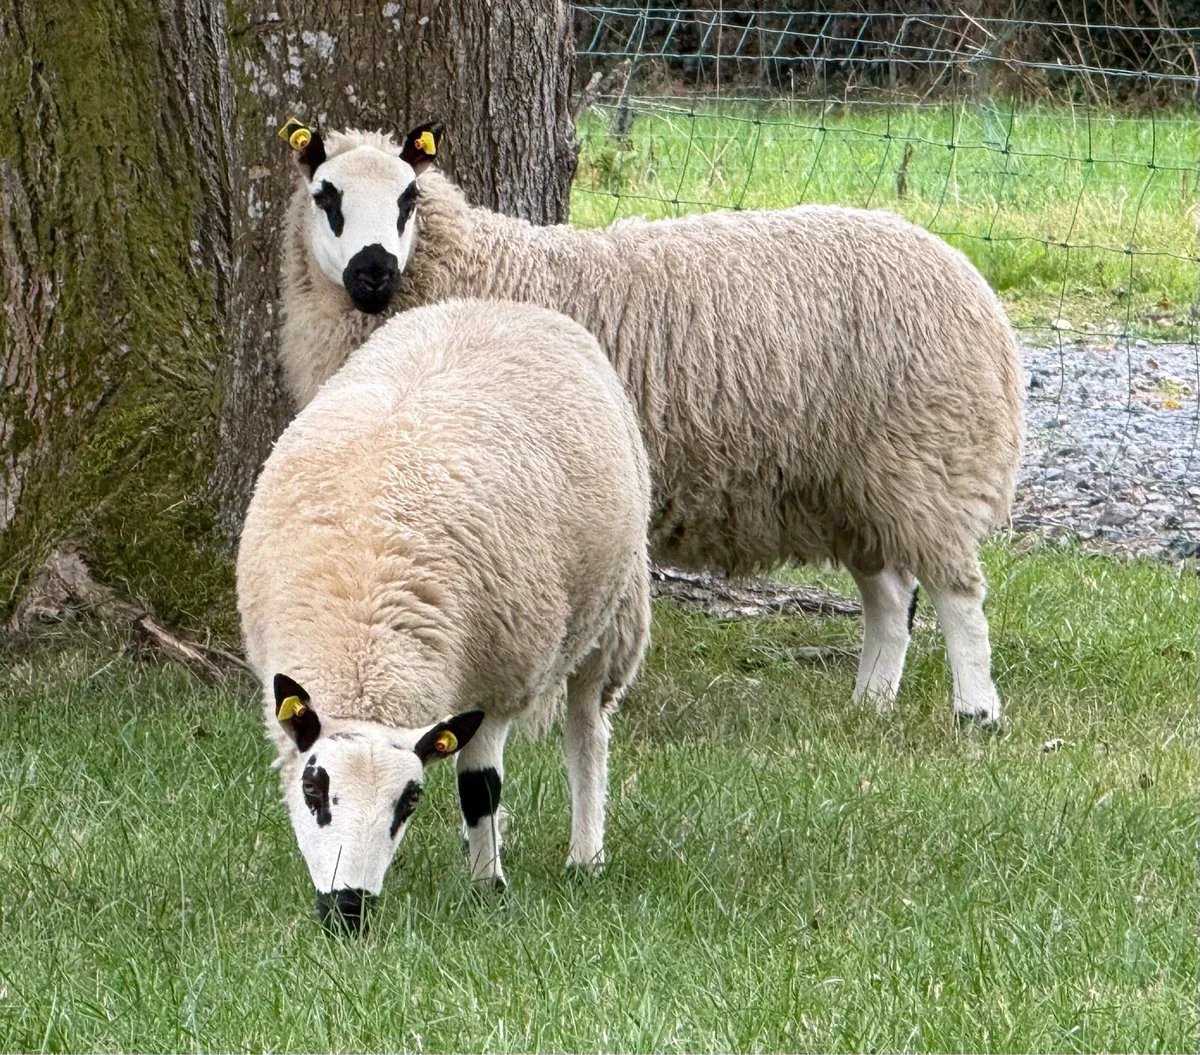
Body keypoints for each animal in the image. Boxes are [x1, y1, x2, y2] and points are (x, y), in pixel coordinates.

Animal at [237, 298, 651, 931]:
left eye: (409, 800)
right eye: (314, 790)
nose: (348, 911)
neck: (364, 640)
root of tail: (496, 304)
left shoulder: (499, 681)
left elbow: (481, 788)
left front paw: (488, 887)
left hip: (612, 610)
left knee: (586, 733)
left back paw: (586, 857)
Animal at [276, 120, 1024, 727]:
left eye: (409, 198)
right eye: (325, 195)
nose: (375, 271)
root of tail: (969, 277)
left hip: (928, 458)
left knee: (958, 591)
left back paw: (976, 710)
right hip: (850, 483)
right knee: (890, 596)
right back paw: (871, 702)